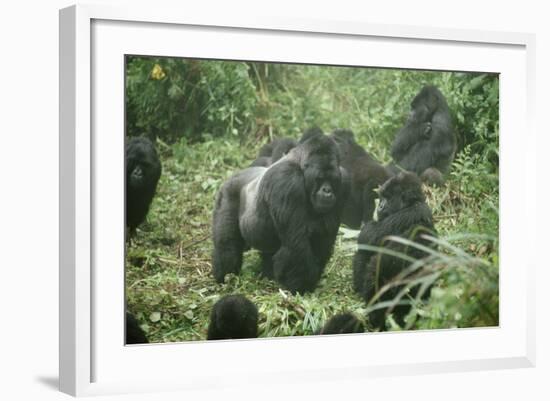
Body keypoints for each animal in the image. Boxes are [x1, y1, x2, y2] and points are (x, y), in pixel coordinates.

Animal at [212, 130, 350, 292]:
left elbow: (323, 239)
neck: (301, 167)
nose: (327, 191)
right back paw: (225, 277)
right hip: (227, 192)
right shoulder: (286, 181)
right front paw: (301, 286)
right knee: (227, 245)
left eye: (332, 180)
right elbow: (295, 243)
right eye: (320, 178)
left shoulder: (343, 183)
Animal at [354, 170, 440, 330]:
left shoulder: (403, 215)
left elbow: (368, 236)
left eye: (387, 198)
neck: (412, 203)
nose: (380, 206)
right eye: (382, 197)